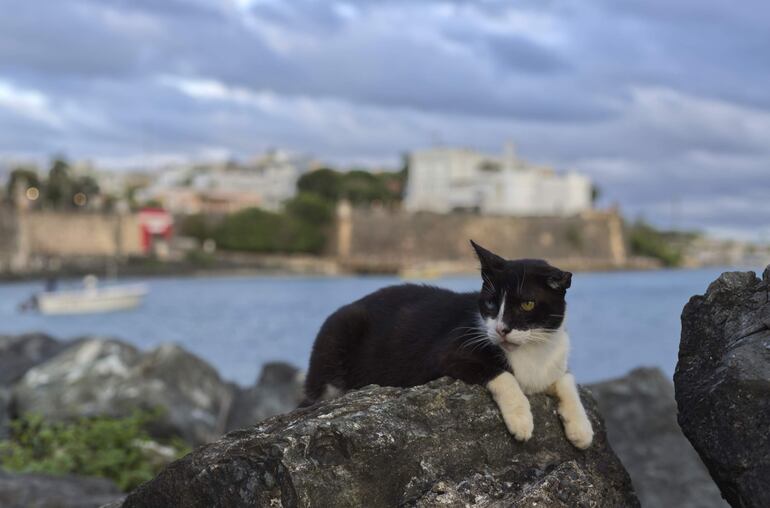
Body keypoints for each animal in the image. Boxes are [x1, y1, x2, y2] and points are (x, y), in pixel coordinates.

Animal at [300, 239, 592, 448]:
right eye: (490, 303)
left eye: (528, 304)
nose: (501, 329)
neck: (531, 351)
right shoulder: (447, 352)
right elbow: (502, 374)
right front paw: (521, 420)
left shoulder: (555, 360)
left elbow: (567, 379)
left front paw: (582, 429)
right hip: (338, 338)